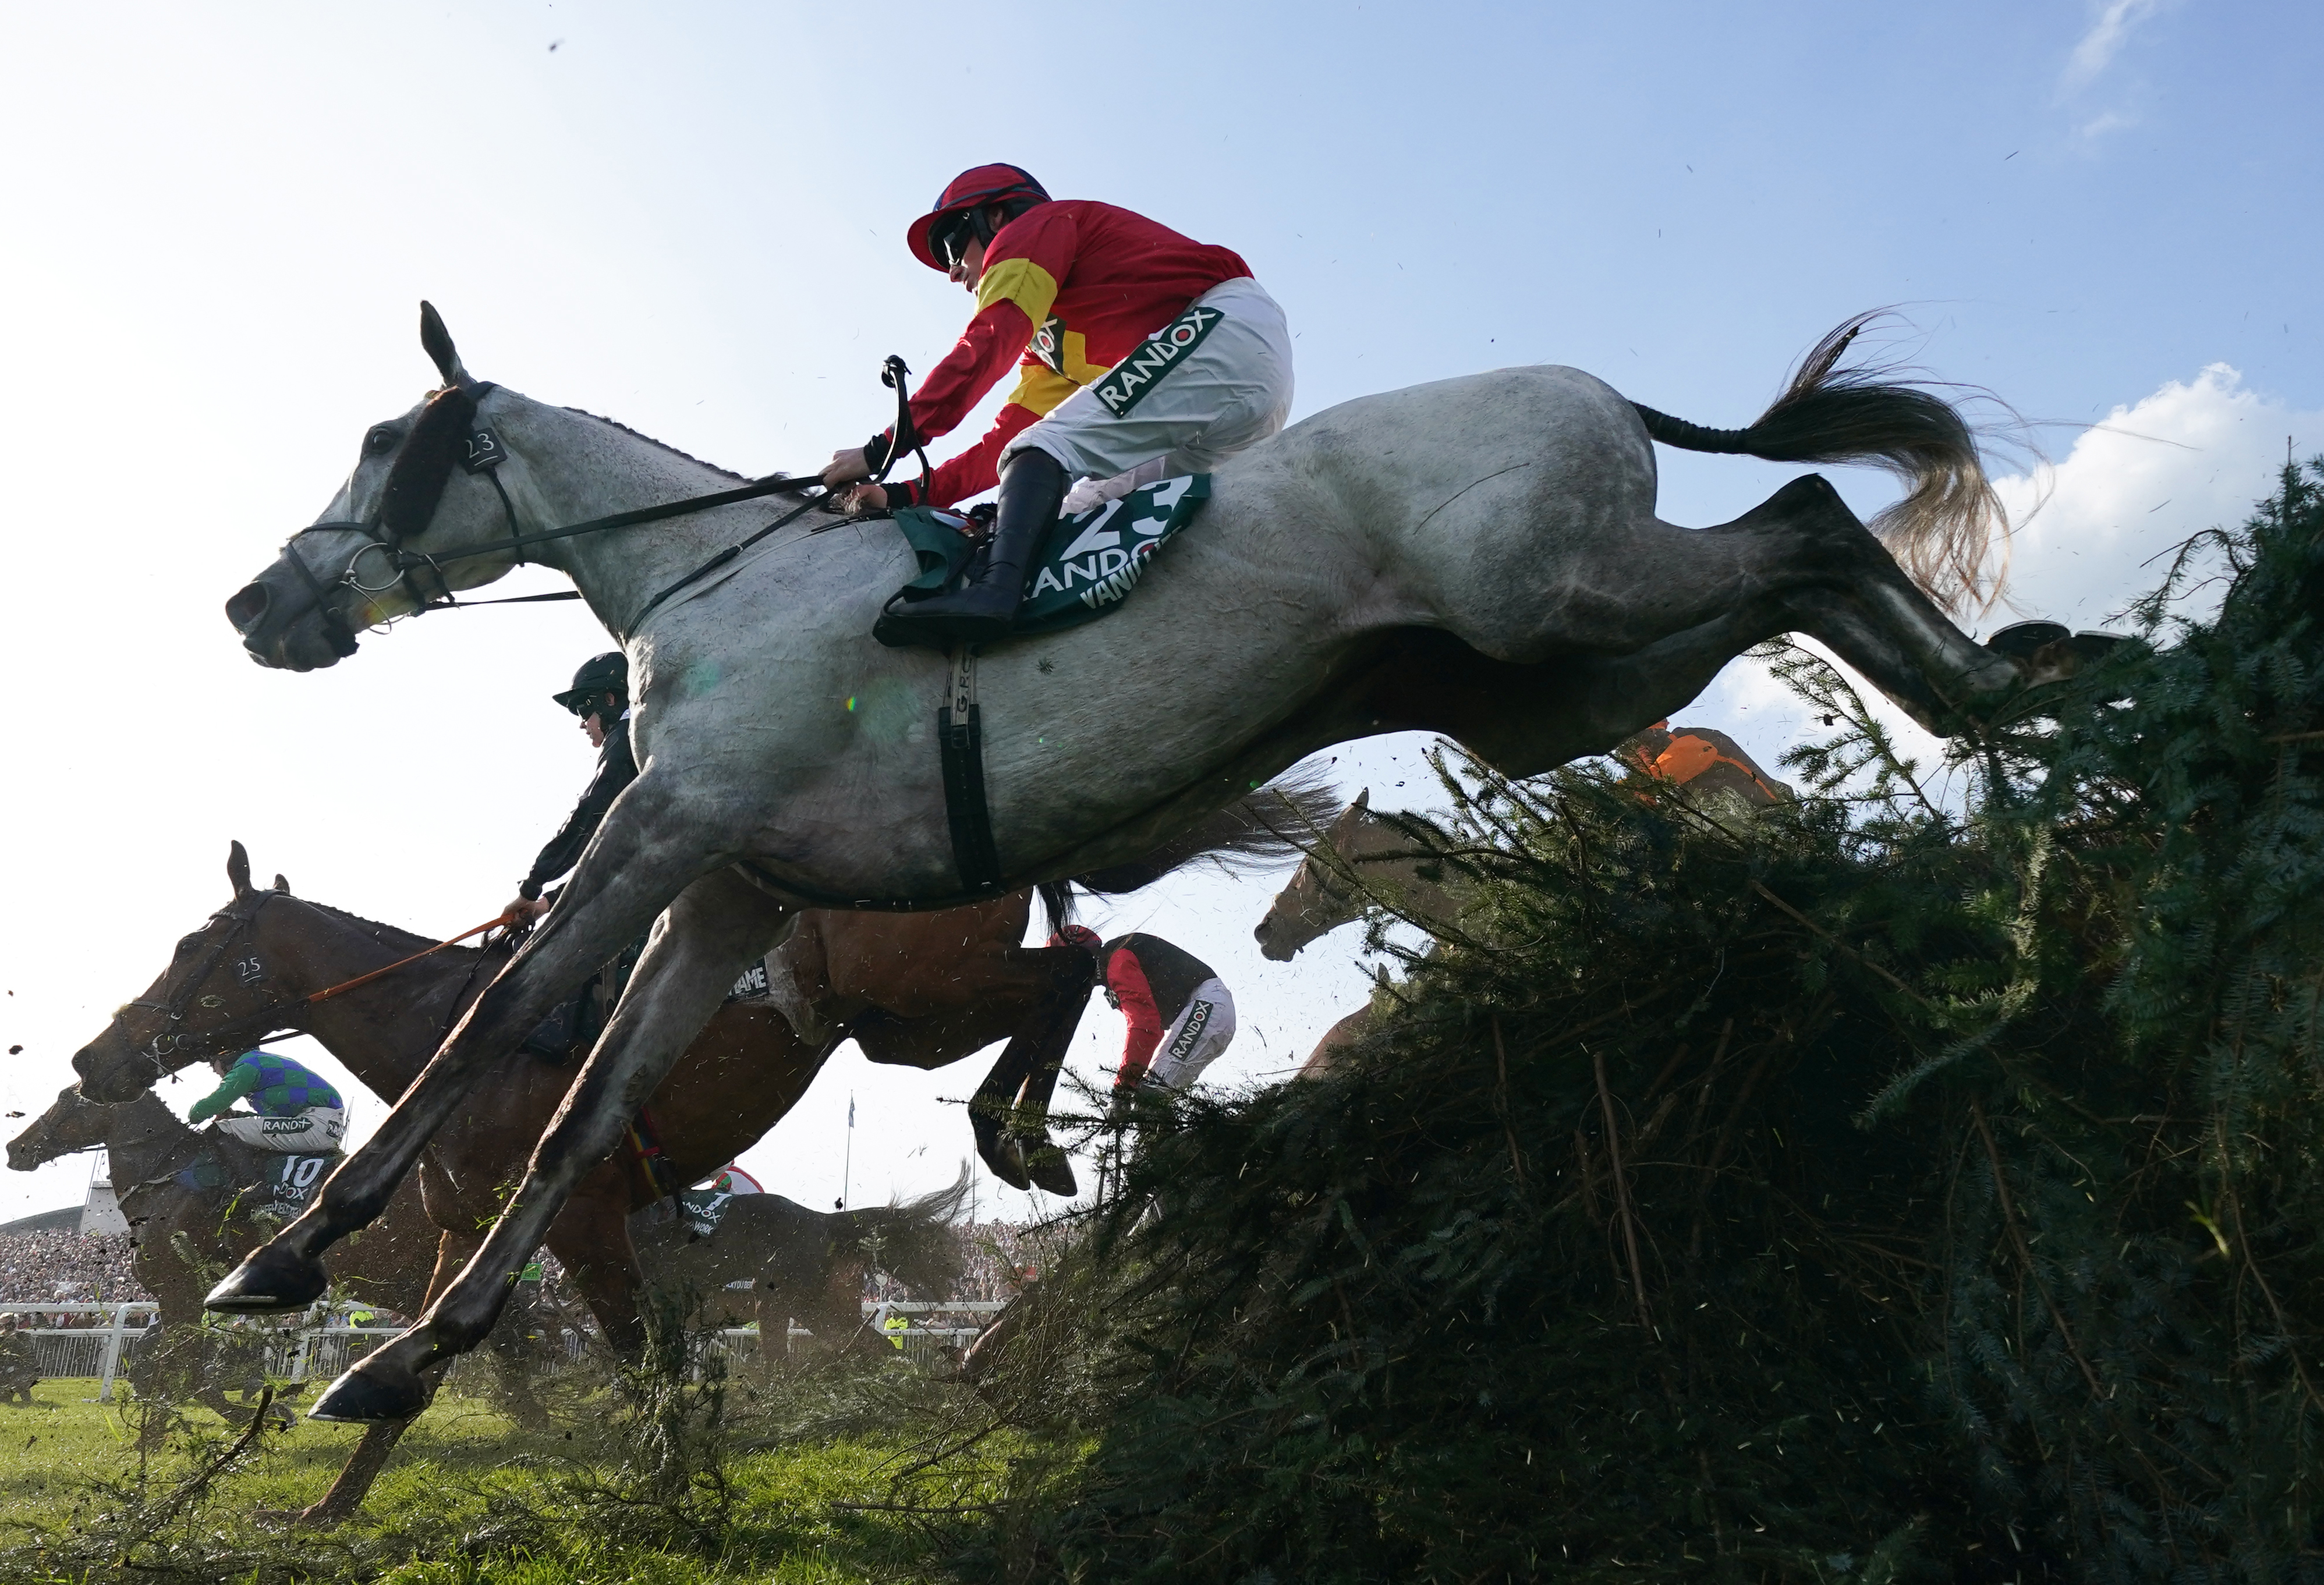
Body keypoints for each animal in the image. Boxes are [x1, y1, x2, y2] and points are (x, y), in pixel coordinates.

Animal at [209, 300, 2082, 1422]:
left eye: (388, 450)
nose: (257, 602)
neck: (716, 578)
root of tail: (1594, 384)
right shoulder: (732, 886)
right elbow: (589, 1108)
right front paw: (406, 1356)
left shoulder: (664, 831)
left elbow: (499, 1017)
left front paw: (290, 1254)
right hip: (1548, 680)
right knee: (1796, 566)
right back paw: (2008, 695)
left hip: (1563, 596)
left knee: (1809, 530)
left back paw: (2008, 693)